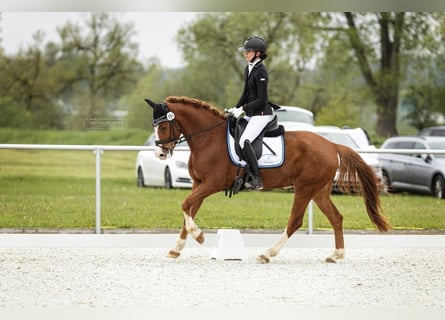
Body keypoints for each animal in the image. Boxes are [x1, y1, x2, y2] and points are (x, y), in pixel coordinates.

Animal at [145, 96, 388, 264]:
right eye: (154, 126)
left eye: (164, 126)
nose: (160, 154)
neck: (208, 139)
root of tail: (332, 145)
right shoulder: (198, 184)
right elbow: (189, 210)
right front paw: (177, 248)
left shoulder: (211, 184)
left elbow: (185, 204)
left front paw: (200, 236)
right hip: (319, 191)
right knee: (336, 218)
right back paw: (336, 255)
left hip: (304, 188)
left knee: (295, 221)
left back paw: (267, 254)